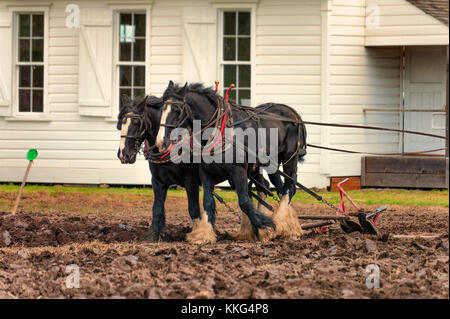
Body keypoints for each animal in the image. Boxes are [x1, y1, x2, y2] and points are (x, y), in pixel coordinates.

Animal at [116, 94, 202, 242]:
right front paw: (154, 236)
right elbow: (157, 208)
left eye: (136, 123)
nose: (123, 154)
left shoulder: (191, 181)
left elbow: (194, 208)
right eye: (122, 122)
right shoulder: (157, 181)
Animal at [155, 82, 306, 242]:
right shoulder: (206, 172)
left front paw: (266, 227)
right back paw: (288, 225)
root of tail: (294, 114)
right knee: (275, 187)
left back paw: (283, 223)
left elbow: (244, 201)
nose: (160, 142)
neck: (219, 130)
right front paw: (203, 234)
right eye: (162, 109)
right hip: (268, 164)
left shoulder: (238, 170)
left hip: (290, 158)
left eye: (177, 110)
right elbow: (208, 201)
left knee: (289, 187)